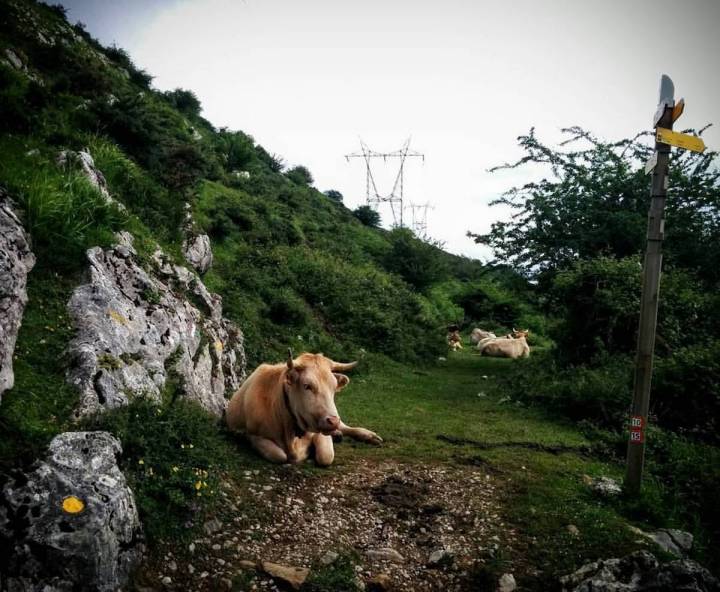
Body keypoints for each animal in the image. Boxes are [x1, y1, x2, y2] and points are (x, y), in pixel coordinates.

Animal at [226, 350, 382, 464]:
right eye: (307, 386)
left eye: (334, 387)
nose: (332, 421)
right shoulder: (256, 436)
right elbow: (279, 456)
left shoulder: (319, 430)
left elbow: (326, 456)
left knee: (346, 427)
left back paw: (369, 436)